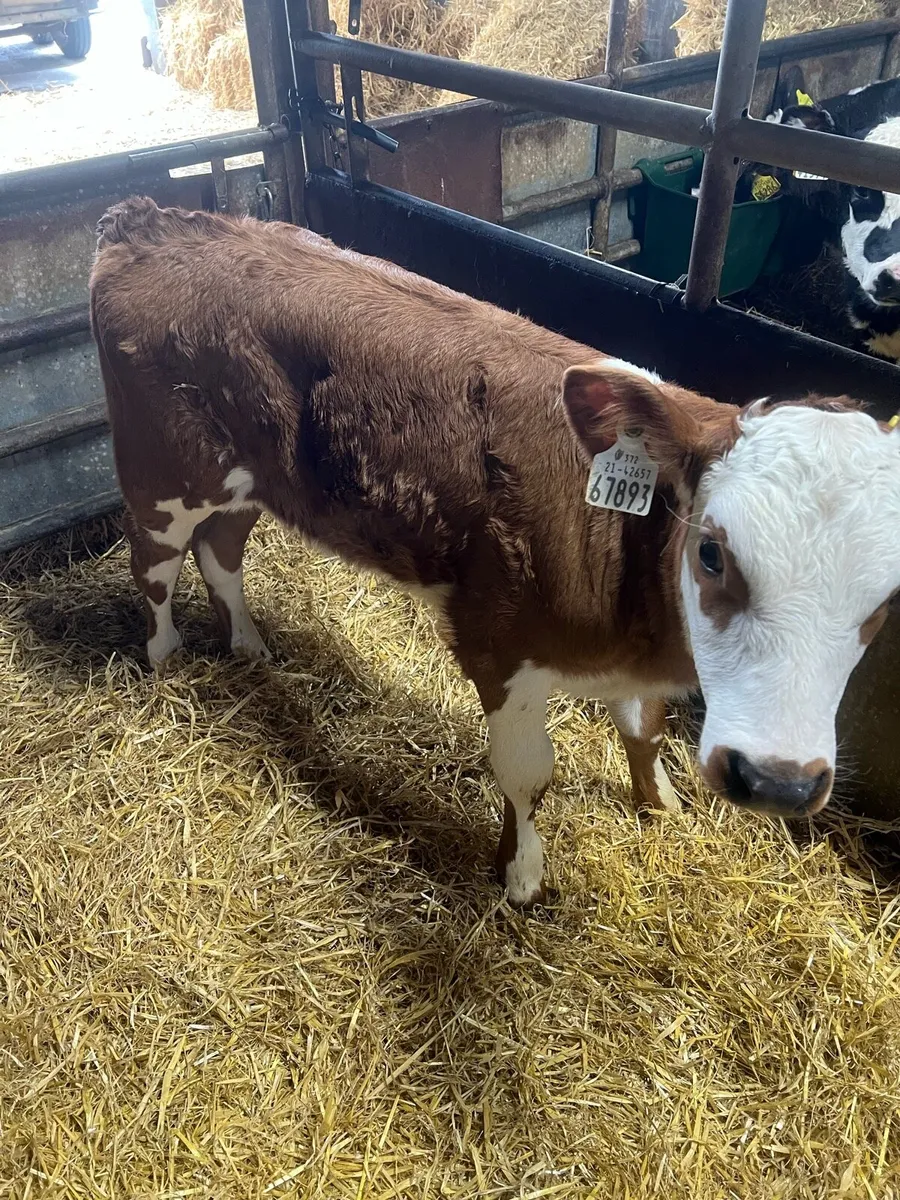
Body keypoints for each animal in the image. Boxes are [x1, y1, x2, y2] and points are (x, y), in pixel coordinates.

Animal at [89, 197, 900, 908]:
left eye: (887, 597)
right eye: (710, 553)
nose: (779, 781)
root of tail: (146, 219)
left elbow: (644, 730)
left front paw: (660, 803)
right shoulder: (498, 640)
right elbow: (527, 774)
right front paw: (521, 877)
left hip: (248, 479)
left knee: (222, 551)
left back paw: (250, 647)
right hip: (163, 468)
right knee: (154, 565)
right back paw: (165, 660)